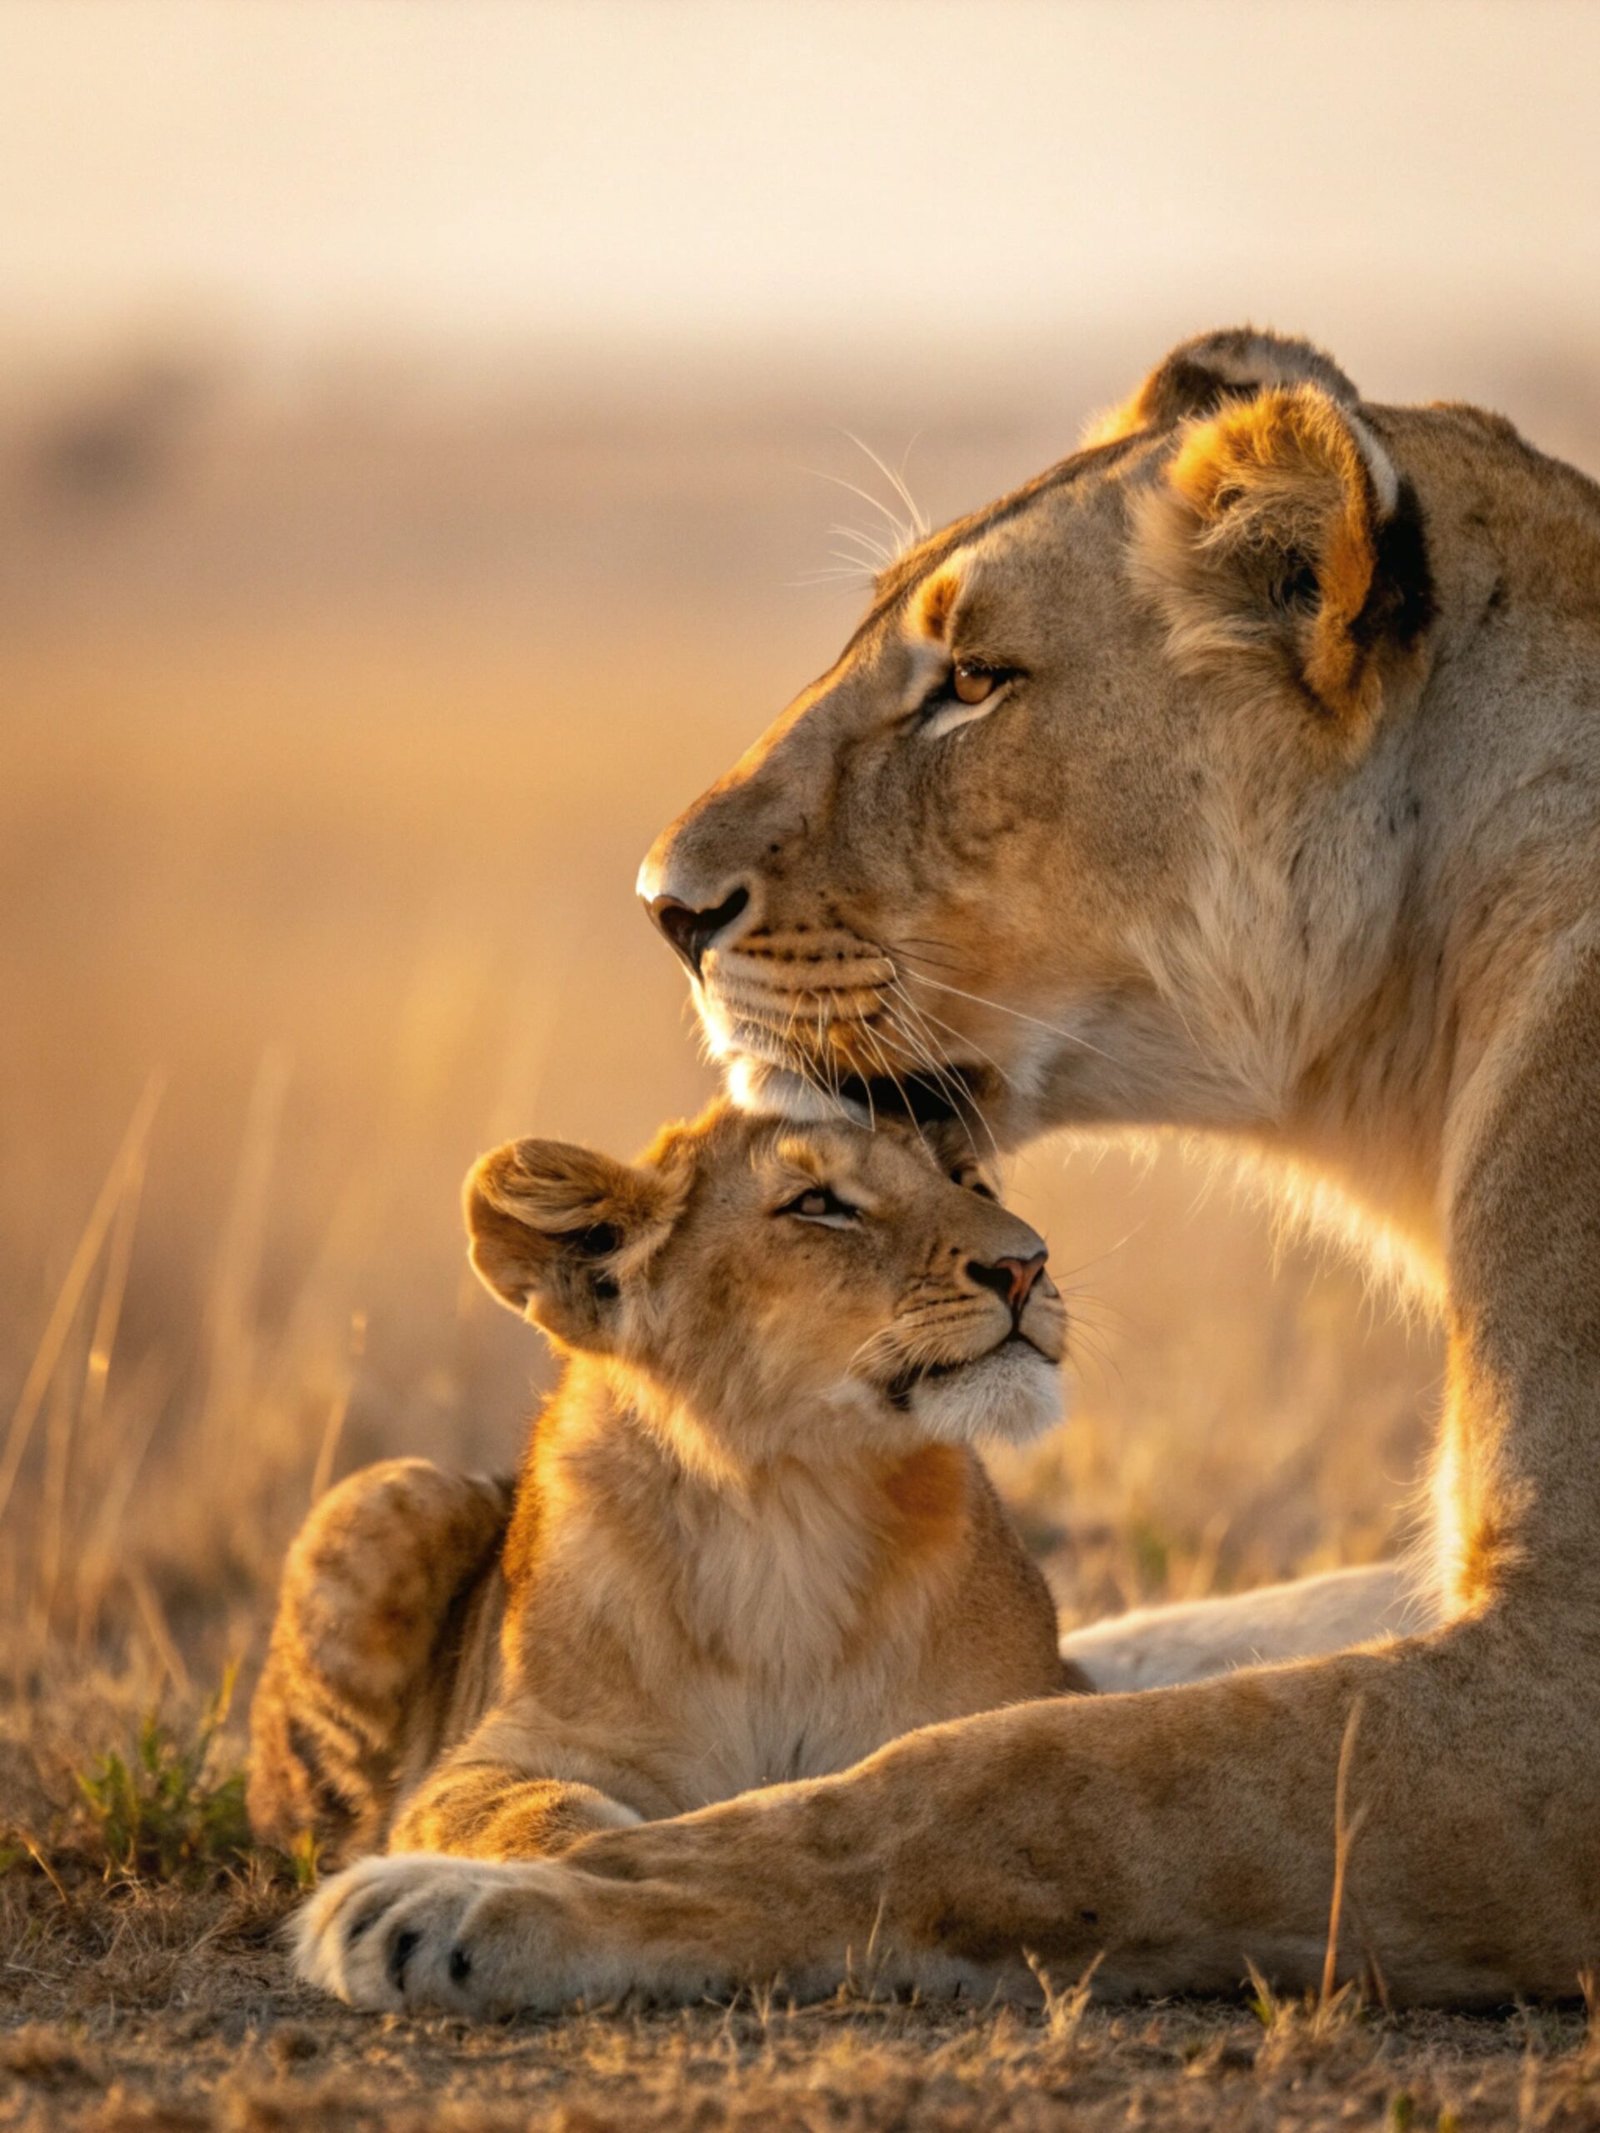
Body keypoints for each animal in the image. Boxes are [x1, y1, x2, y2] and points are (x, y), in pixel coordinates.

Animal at [256, 1102, 1083, 1931]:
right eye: (817, 1203)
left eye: (969, 1180)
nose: (1027, 1265)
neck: (789, 1507)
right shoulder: (496, 1754)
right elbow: (532, 1809)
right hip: (391, 1493)